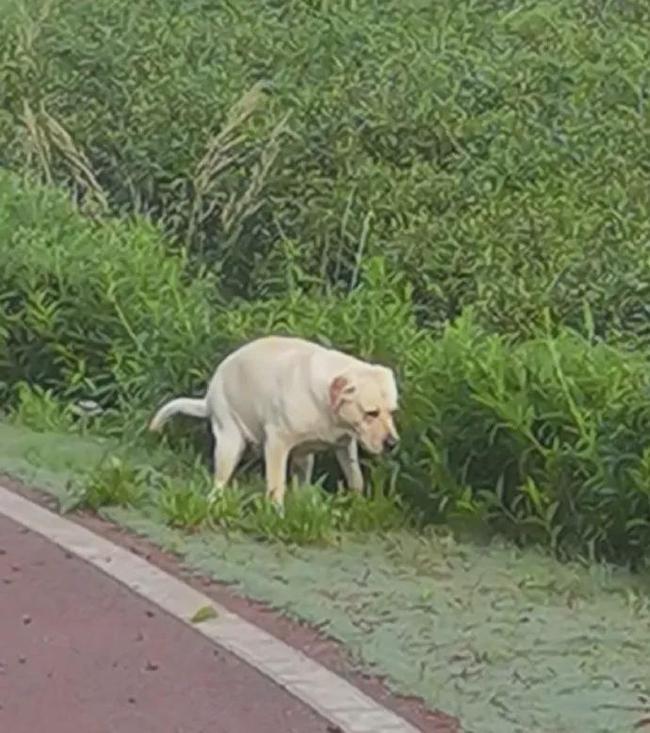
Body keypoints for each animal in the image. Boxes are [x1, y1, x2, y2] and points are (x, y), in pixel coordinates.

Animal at [149, 336, 398, 504]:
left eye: (392, 411)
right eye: (371, 412)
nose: (392, 443)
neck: (327, 405)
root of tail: (209, 396)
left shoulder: (345, 445)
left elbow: (356, 478)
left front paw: (356, 503)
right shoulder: (277, 442)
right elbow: (276, 485)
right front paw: (277, 514)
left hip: (303, 458)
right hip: (231, 441)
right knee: (219, 481)